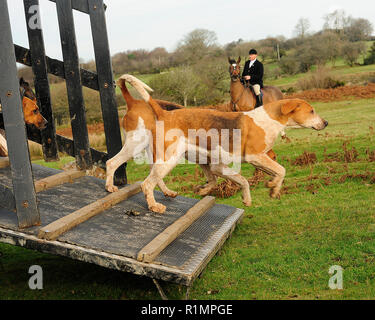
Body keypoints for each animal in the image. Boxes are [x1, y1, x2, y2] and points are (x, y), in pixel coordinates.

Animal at [117, 74, 328, 214]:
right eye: (311, 111)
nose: (325, 123)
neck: (269, 119)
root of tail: (163, 113)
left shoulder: (226, 165)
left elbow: (254, 176)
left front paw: (269, 188)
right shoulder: (253, 156)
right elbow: (280, 170)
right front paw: (270, 188)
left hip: (193, 157)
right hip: (168, 160)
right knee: (146, 184)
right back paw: (154, 205)